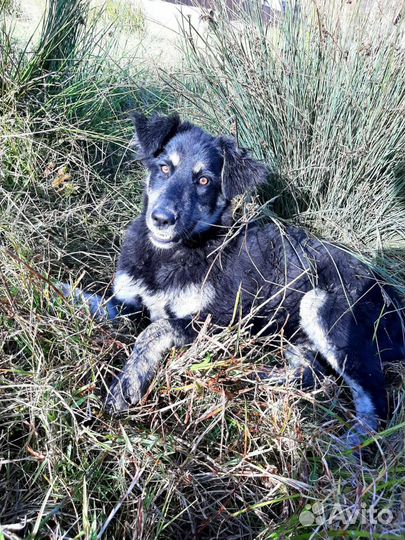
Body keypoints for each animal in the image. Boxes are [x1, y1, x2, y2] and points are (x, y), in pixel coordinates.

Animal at [63, 113, 404, 442]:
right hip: (297, 333)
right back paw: (254, 376)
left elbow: (155, 329)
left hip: (325, 307)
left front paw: (127, 384)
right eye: (164, 167)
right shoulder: (128, 300)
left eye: (204, 180)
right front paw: (58, 290)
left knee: (376, 400)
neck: (172, 254)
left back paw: (349, 445)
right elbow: (97, 301)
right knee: (309, 376)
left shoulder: (217, 323)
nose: (160, 219)